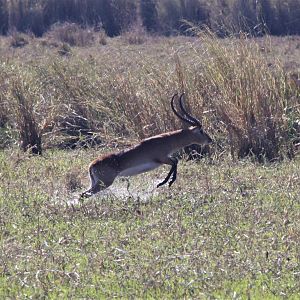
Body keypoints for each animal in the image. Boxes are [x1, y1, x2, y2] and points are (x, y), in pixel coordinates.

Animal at [79, 92, 211, 198]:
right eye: (201, 131)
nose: (210, 140)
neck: (166, 140)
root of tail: (91, 165)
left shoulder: (164, 159)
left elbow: (175, 162)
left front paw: (165, 182)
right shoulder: (162, 159)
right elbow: (175, 162)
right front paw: (164, 183)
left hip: (96, 183)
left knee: (83, 194)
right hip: (104, 183)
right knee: (84, 195)